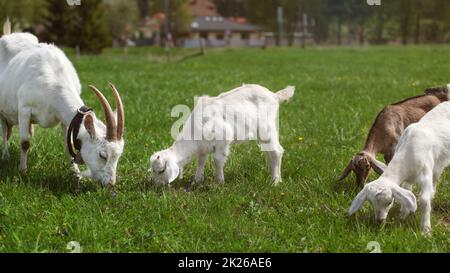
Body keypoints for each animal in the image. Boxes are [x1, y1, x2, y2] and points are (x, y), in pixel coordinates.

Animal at [0, 31, 125, 185]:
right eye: (102, 155)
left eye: (118, 156)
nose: (110, 183)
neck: (53, 79)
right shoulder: (24, 109)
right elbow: (25, 143)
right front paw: (22, 171)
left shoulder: (64, 120)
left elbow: (67, 144)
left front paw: (76, 174)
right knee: (4, 130)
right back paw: (5, 156)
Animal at [149, 84, 294, 186]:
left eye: (161, 171)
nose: (157, 186)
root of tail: (274, 96)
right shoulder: (203, 146)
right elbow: (201, 160)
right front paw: (197, 180)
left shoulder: (222, 140)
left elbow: (217, 160)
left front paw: (219, 182)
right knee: (269, 153)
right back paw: (274, 176)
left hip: (267, 128)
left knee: (276, 151)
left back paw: (275, 182)